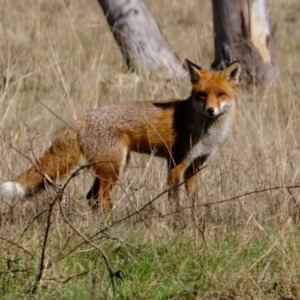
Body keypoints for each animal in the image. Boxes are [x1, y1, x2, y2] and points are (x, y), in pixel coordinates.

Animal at [0, 60, 241, 211]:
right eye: (202, 95)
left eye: (221, 94)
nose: (211, 110)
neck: (207, 133)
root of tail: (83, 118)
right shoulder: (176, 162)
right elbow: (174, 198)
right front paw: (177, 220)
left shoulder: (195, 165)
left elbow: (193, 198)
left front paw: (194, 218)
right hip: (113, 168)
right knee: (101, 198)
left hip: (112, 167)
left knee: (91, 199)